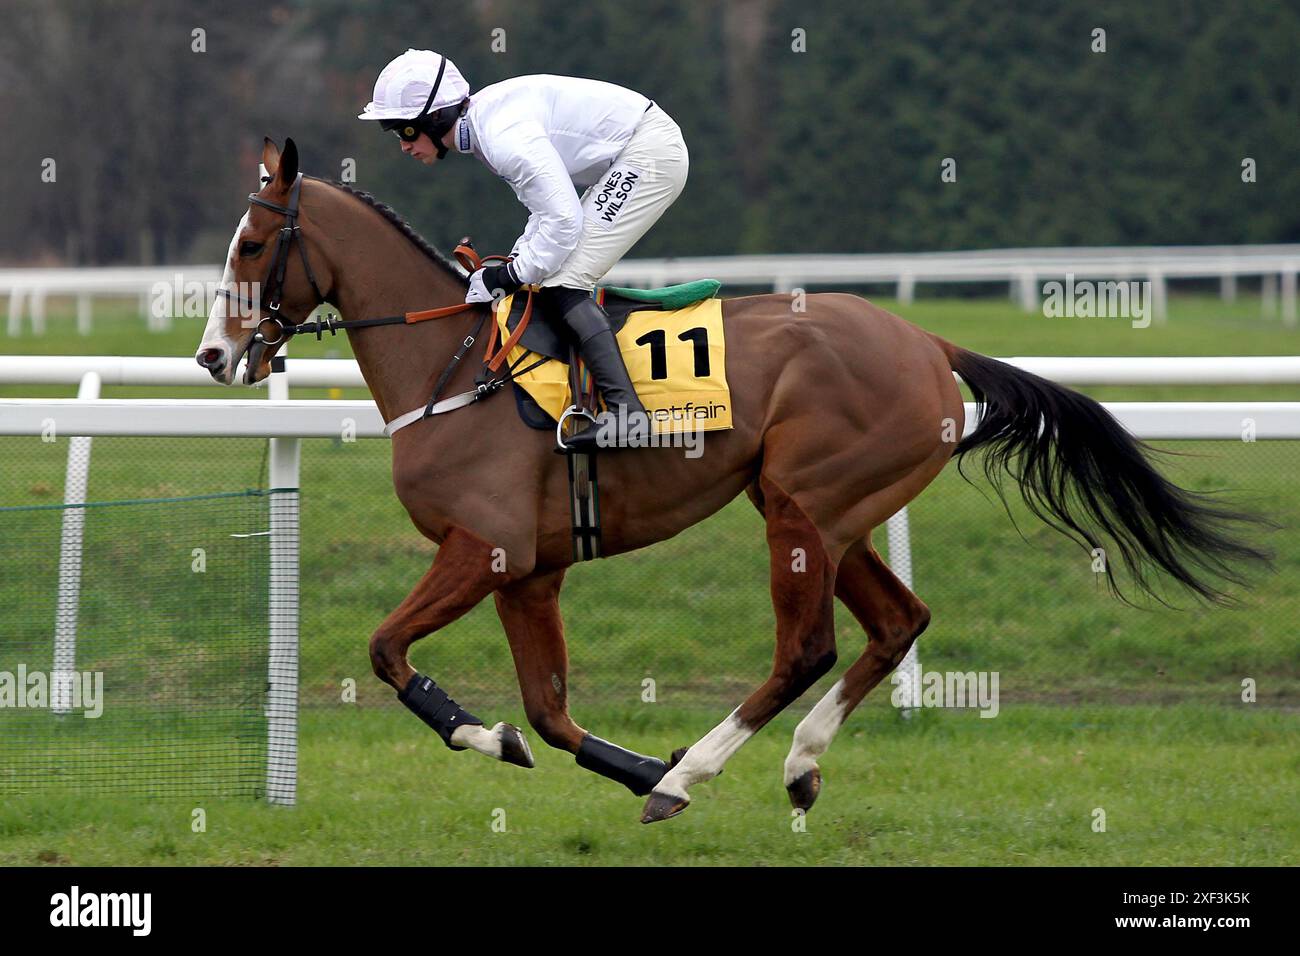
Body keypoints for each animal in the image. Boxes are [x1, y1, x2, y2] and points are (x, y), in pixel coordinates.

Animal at [195, 138, 1268, 827]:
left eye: (249, 245)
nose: (213, 356)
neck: (453, 366)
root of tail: (929, 342)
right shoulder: (530, 572)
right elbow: (549, 711)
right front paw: (614, 761)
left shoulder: (484, 549)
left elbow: (387, 650)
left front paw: (523, 745)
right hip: (829, 512)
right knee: (898, 623)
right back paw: (794, 766)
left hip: (802, 506)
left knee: (809, 648)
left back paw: (702, 770)